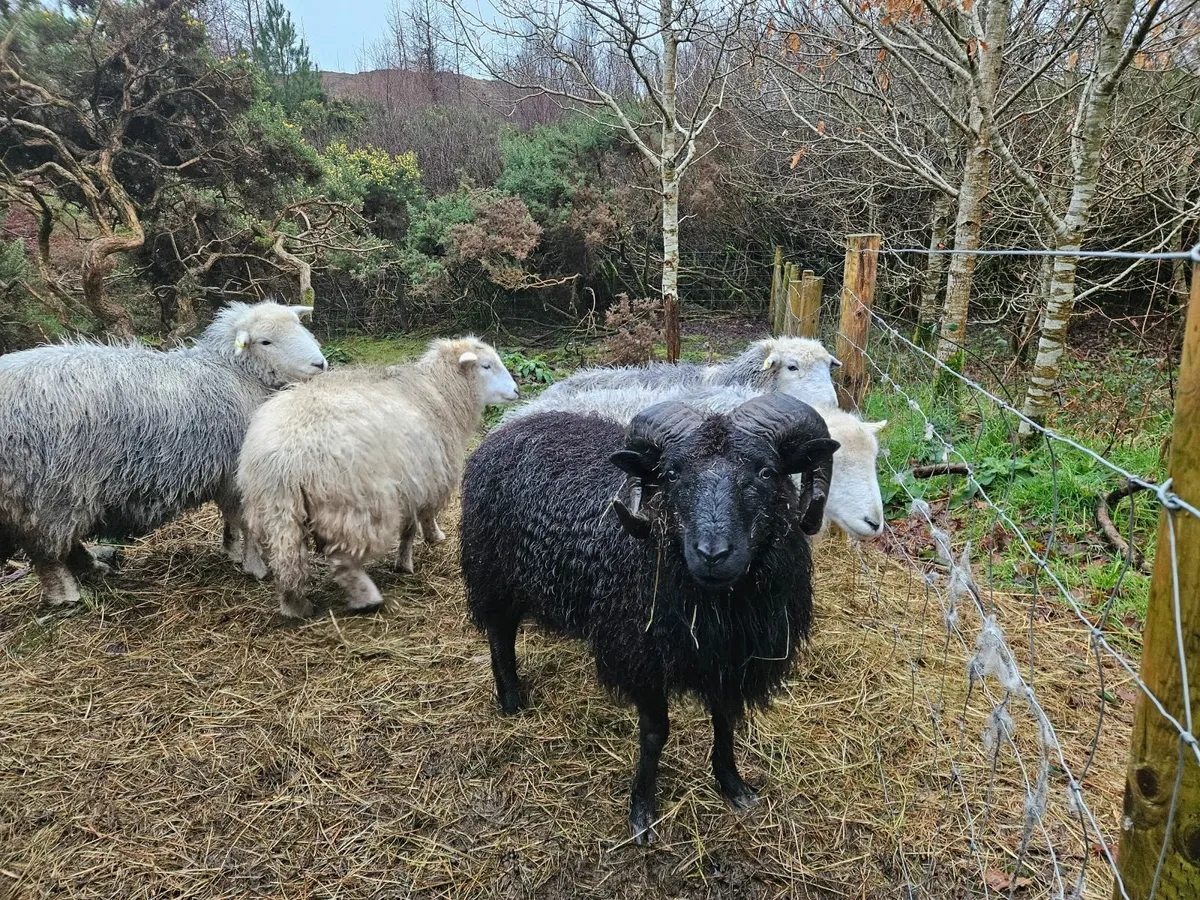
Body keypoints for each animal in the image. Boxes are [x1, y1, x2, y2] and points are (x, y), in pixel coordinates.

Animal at [0, 301, 326, 607]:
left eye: (298, 324)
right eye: (265, 341)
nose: (319, 364)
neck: (232, 373)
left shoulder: (225, 474)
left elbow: (232, 519)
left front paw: (233, 551)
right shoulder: (235, 470)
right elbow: (245, 520)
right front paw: (255, 565)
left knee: (63, 544)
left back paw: (94, 570)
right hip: (48, 488)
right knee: (47, 550)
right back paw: (66, 595)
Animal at [239, 336, 519, 619]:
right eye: (486, 366)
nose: (517, 391)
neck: (440, 392)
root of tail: (285, 458)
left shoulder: (411, 481)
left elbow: (410, 526)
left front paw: (408, 557)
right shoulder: (429, 476)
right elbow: (421, 518)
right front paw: (429, 540)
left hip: (276, 511)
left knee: (287, 560)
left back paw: (295, 606)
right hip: (353, 504)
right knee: (342, 559)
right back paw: (366, 598)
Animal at [461, 393, 840, 843]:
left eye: (766, 471)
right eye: (671, 475)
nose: (712, 554)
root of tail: (509, 427)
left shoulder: (731, 661)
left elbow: (726, 720)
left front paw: (732, 784)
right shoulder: (642, 656)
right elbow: (656, 733)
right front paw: (642, 811)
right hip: (492, 573)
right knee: (499, 634)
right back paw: (511, 700)